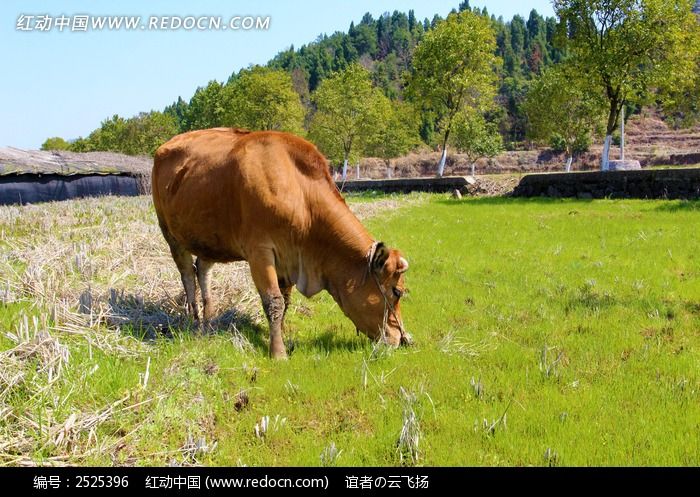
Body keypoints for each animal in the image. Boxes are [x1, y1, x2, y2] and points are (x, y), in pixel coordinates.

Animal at [150, 128, 408, 358]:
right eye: (397, 292)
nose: (403, 339)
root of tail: (164, 147)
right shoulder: (260, 251)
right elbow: (273, 301)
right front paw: (278, 352)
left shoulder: (288, 258)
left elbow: (285, 301)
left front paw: (281, 334)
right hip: (170, 233)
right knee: (187, 275)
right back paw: (194, 323)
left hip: (209, 239)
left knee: (202, 270)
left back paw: (209, 321)